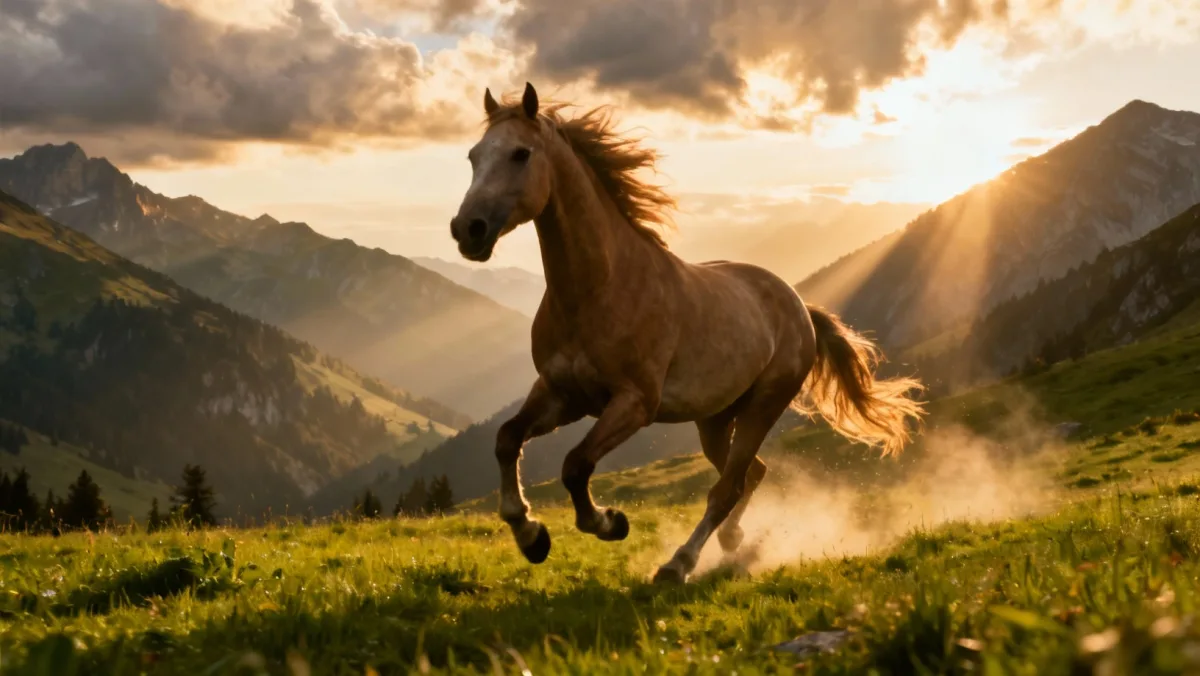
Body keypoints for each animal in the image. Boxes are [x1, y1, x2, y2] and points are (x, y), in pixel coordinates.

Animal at [448, 82, 926, 583]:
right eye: (474, 155)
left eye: (520, 154)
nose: (468, 230)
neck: (599, 289)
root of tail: (798, 305)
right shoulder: (562, 394)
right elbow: (507, 439)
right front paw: (531, 536)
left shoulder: (634, 403)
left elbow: (576, 465)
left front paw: (610, 523)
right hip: (714, 419)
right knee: (750, 475)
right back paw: (733, 540)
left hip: (762, 406)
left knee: (727, 486)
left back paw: (679, 564)